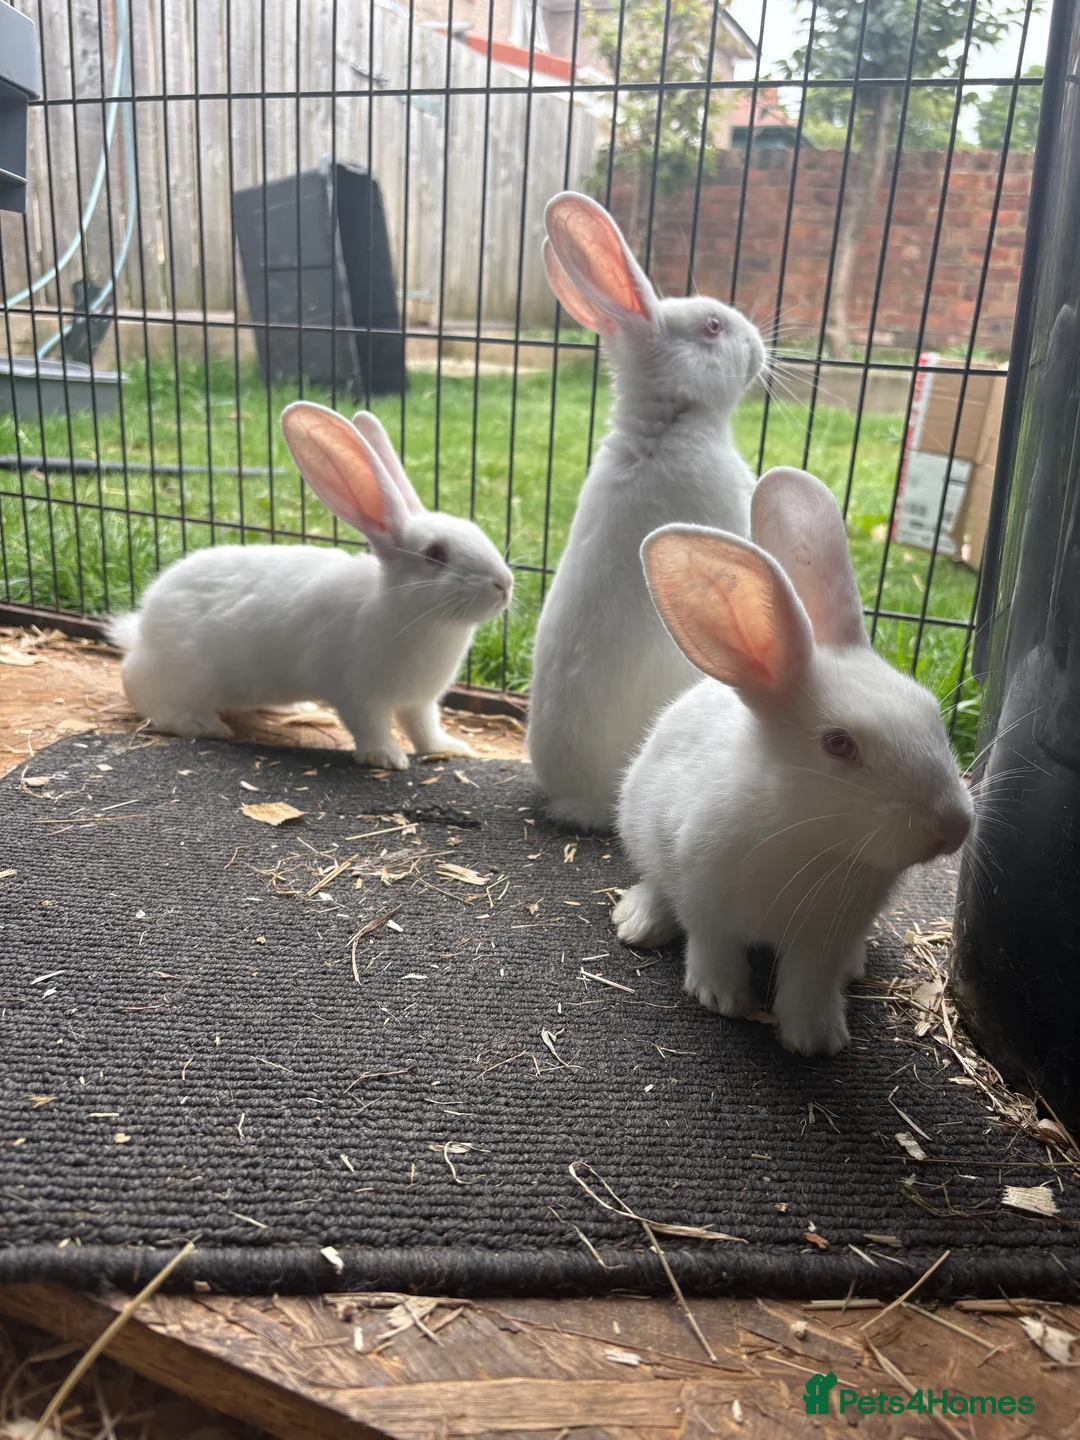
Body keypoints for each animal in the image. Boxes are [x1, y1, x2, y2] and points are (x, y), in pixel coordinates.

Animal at [107, 403, 513, 770]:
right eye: (435, 554)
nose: (504, 583)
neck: (404, 609)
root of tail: (142, 630)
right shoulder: (357, 695)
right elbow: (371, 728)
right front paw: (387, 758)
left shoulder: (420, 701)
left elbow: (424, 729)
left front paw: (451, 748)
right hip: (187, 675)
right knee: (144, 693)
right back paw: (205, 725)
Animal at [614, 466, 973, 1057]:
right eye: (839, 745)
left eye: (930, 713)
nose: (954, 828)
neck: (808, 839)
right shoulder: (704, 899)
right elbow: (713, 945)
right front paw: (722, 997)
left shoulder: (826, 936)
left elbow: (811, 981)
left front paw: (816, 1039)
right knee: (656, 885)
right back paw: (638, 920)